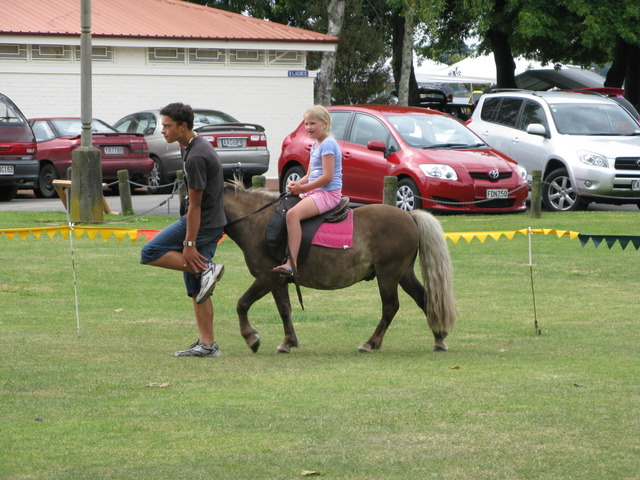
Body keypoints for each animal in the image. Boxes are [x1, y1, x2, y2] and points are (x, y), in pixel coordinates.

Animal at [222, 182, 456, 354]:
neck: (257, 221)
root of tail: (409, 215)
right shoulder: (278, 281)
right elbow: (284, 309)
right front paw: (288, 342)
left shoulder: (267, 278)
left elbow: (242, 304)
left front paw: (251, 338)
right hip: (404, 274)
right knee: (424, 299)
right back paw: (438, 337)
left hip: (388, 275)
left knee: (390, 307)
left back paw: (370, 343)